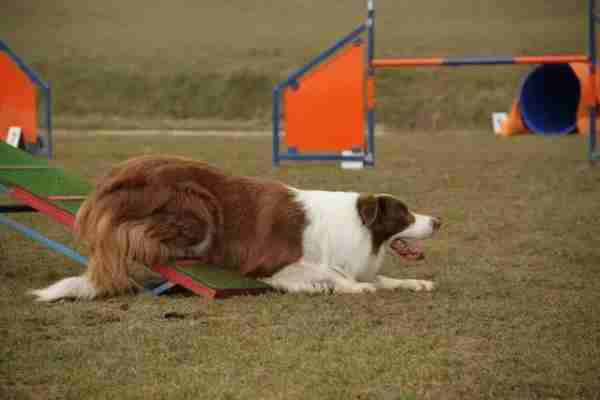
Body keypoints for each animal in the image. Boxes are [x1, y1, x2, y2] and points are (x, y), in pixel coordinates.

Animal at [29, 155, 440, 302]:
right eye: (404, 214)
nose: (438, 220)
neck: (355, 226)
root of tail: (109, 181)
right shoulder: (271, 263)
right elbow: (333, 274)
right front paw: (351, 287)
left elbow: (385, 278)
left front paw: (416, 283)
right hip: (197, 205)